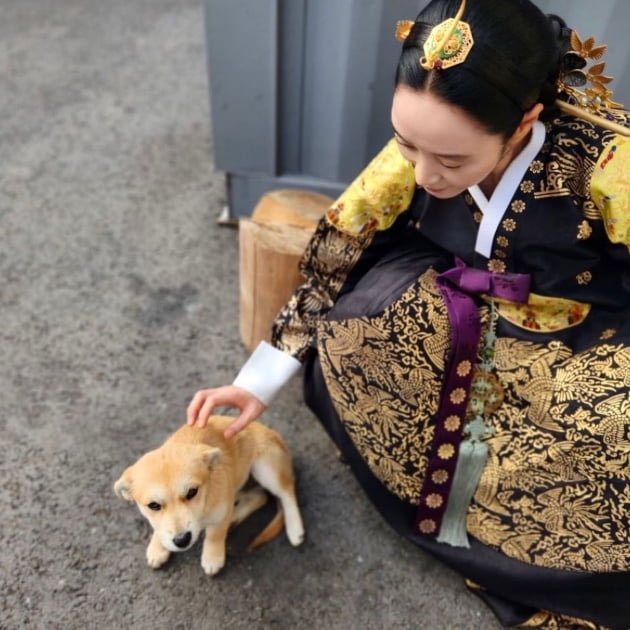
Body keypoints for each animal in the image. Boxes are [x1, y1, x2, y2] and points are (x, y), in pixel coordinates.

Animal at [116, 418, 308, 576]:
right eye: (153, 505)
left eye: (192, 492)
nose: (182, 540)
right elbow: (158, 526)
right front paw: (158, 547)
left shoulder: (220, 510)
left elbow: (215, 534)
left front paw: (212, 557)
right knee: (260, 496)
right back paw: (235, 516)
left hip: (265, 467)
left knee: (287, 491)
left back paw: (295, 528)